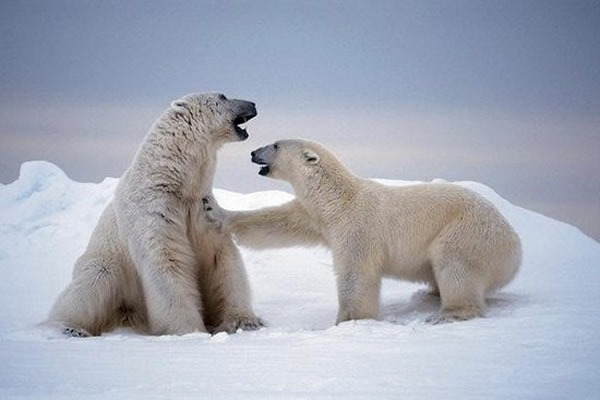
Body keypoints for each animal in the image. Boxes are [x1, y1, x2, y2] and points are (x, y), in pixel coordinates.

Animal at [50, 92, 266, 336]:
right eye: (223, 96)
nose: (253, 103)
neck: (171, 181)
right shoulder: (153, 210)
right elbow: (167, 260)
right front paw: (189, 330)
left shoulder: (200, 209)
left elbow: (220, 257)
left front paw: (244, 321)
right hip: (106, 262)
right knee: (91, 283)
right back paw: (70, 328)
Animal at [204, 139, 524, 324]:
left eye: (275, 145)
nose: (253, 152)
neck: (338, 198)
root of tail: (516, 249)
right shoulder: (317, 218)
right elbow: (278, 223)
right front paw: (214, 209)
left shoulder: (357, 227)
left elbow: (356, 274)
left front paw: (349, 320)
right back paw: (430, 293)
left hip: (470, 232)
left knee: (452, 261)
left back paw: (449, 313)